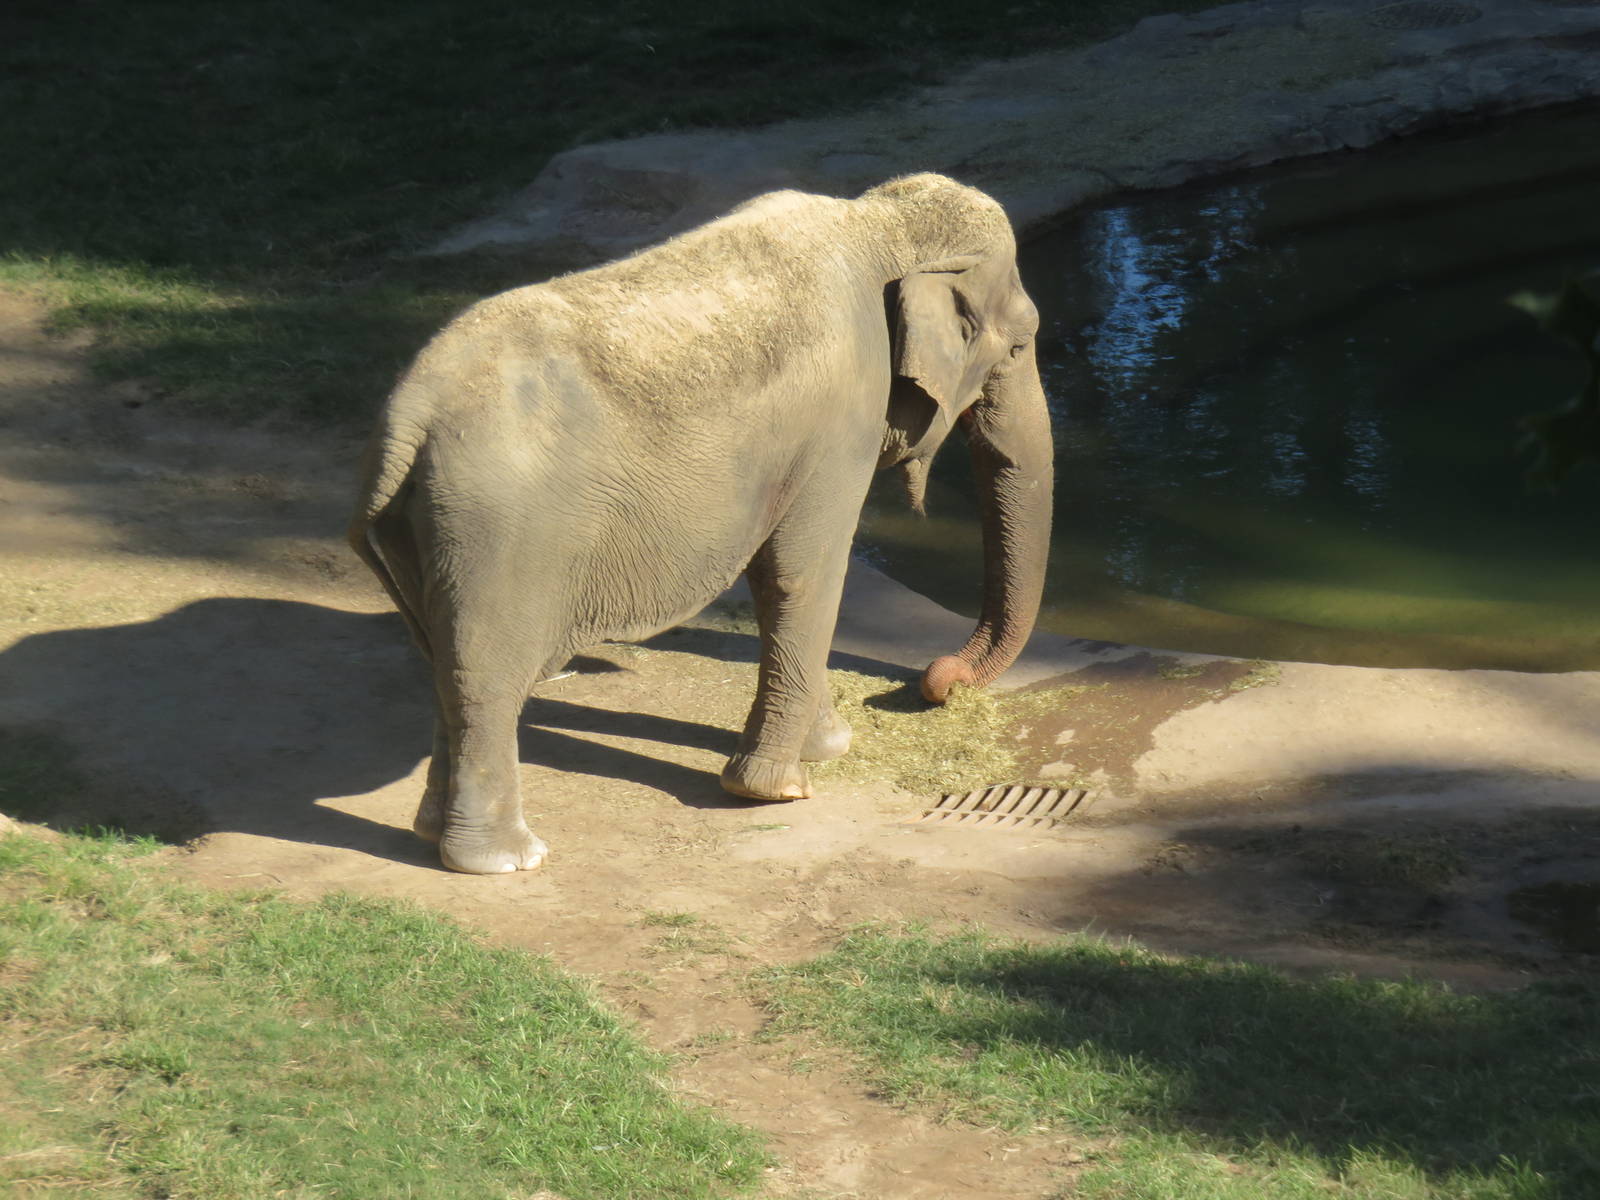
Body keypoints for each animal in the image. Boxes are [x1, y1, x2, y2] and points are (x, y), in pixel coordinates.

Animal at [349, 173, 1054, 874]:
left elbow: (774, 579)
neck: (876, 222)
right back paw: (506, 860)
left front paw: (826, 746)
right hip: (496, 534)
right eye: (1021, 343)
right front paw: (777, 789)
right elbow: (807, 572)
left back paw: (433, 833)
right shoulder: (842, 424)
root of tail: (408, 417)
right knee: (484, 677)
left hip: (426, 527)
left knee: (442, 661)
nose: (935, 682)